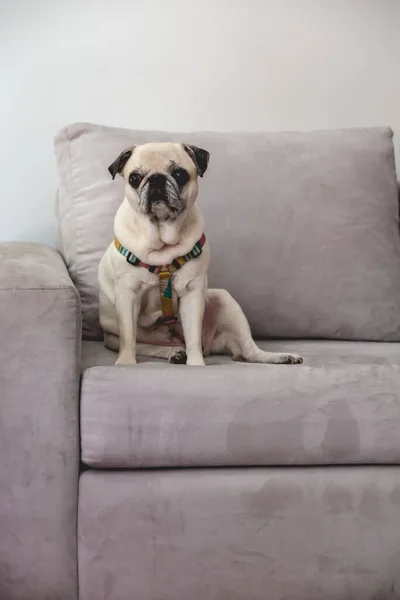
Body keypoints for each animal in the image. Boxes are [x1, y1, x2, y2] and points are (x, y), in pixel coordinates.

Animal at [98, 142, 302, 366]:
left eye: (179, 174)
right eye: (134, 178)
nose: (156, 178)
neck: (162, 241)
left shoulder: (192, 293)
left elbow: (193, 336)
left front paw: (196, 365)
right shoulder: (128, 294)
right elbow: (128, 336)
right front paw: (125, 363)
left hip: (225, 301)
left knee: (250, 352)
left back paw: (282, 357)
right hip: (114, 339)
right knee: (146, 345)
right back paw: (174, 353)